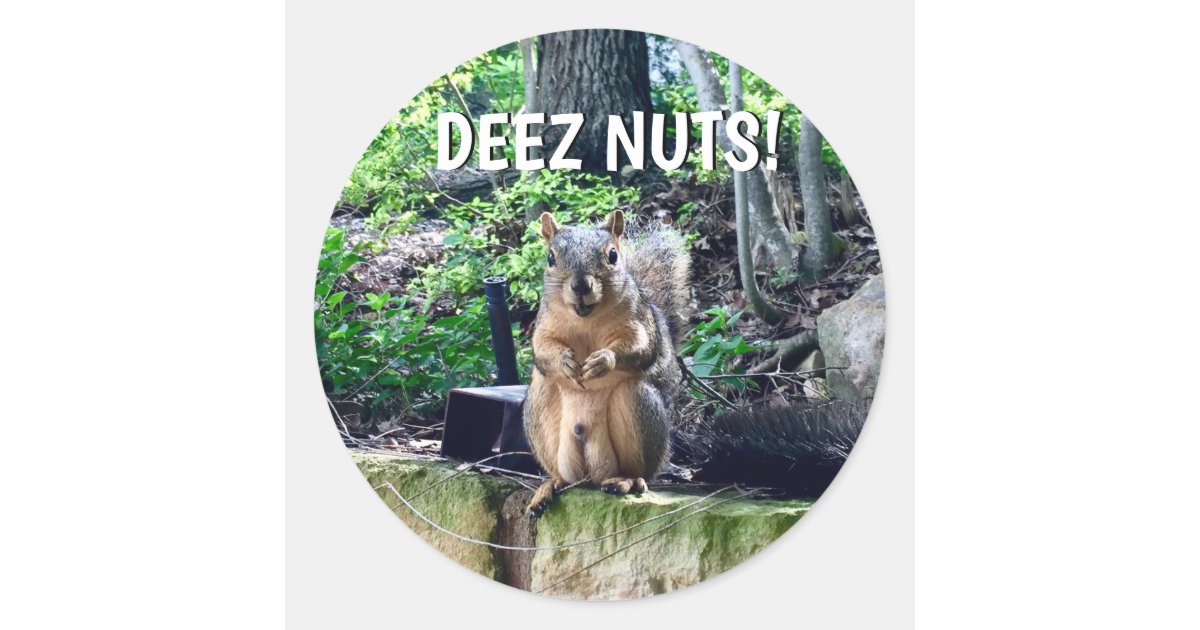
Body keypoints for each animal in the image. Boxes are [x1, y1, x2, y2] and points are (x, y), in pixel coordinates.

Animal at [523, 209, 691, 518]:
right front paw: (564, 361)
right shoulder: (544, 325)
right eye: (550, 257)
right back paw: (549, 486)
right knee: (564, 477)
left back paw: (626, 481)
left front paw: (603, 361)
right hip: (540, 408)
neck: (585, 318)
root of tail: (591, 475)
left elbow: (641, 347)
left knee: (638, 471)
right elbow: (542, 350)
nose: (580, 286)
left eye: (613, 255)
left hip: (637, 405)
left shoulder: (639, 322)